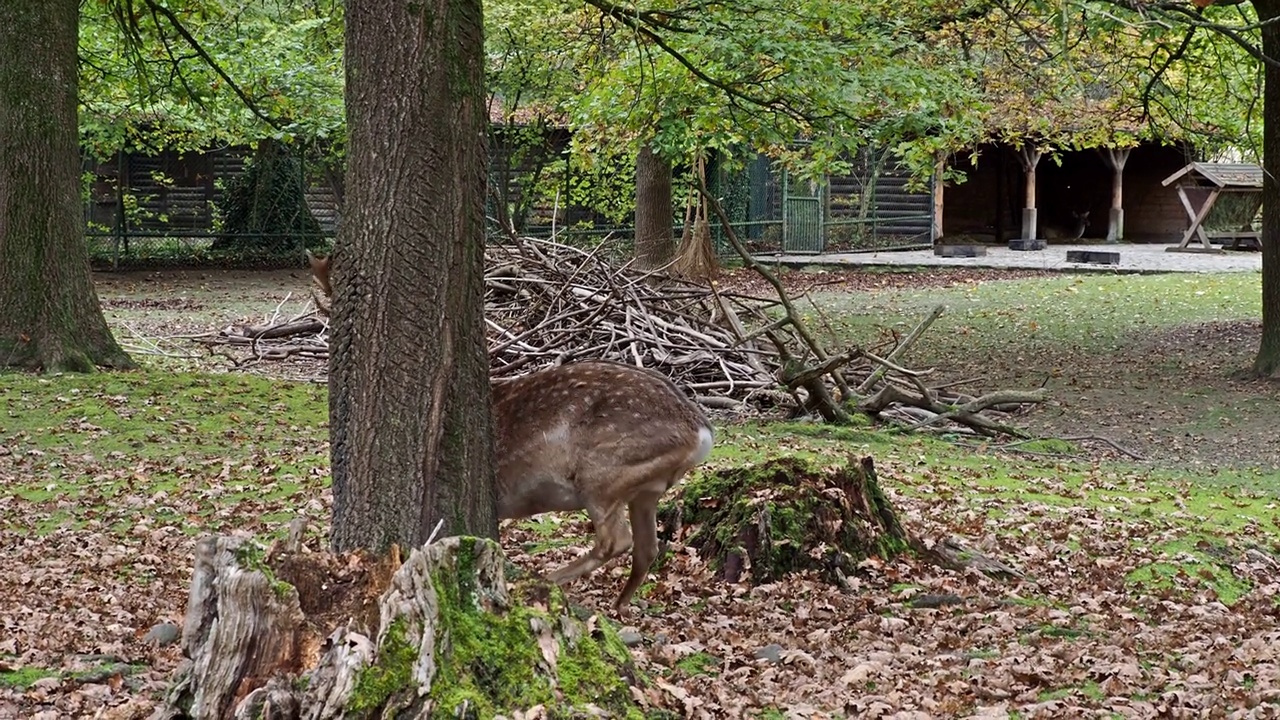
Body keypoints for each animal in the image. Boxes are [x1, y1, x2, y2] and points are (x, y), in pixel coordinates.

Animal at [304, 249, 716, 607]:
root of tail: (701, 432)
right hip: (645, 489)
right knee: (647, 547)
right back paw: (617, 605)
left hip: (604, 471)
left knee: (616, 541)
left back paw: (549, 579)